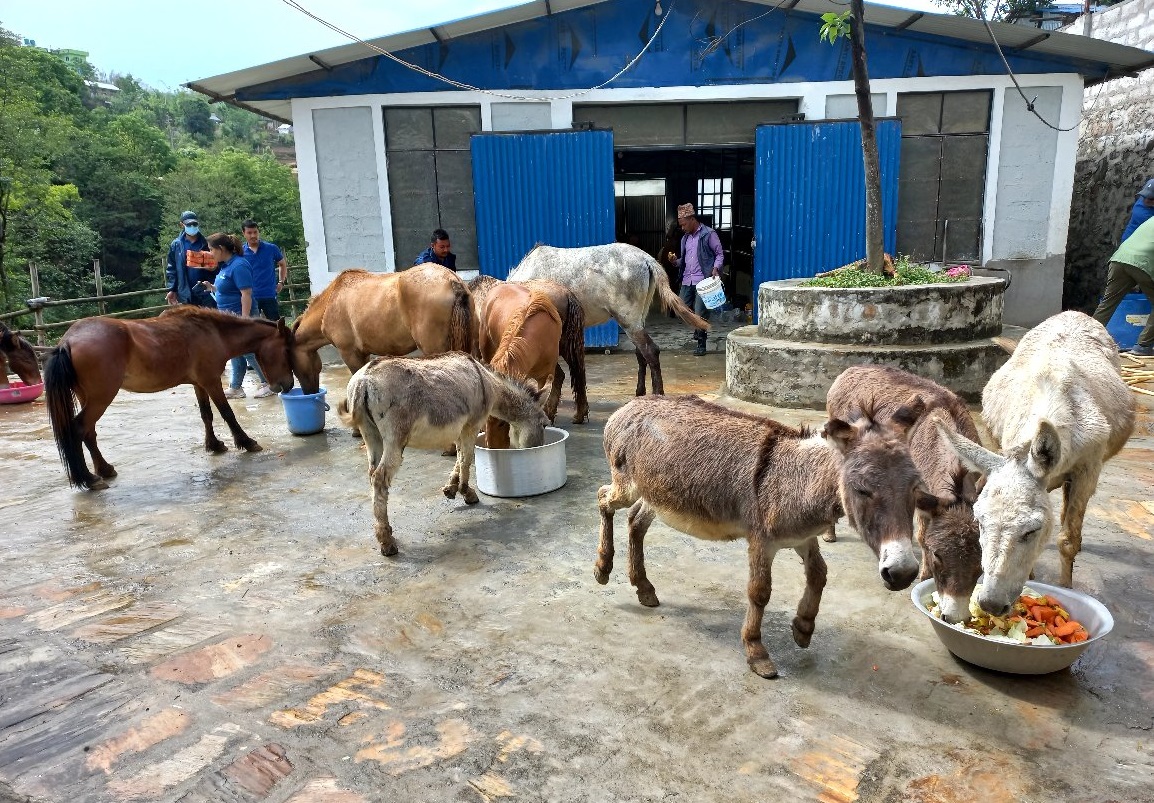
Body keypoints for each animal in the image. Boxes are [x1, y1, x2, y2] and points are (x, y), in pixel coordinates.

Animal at [43, 306, 297, 489]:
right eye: (286, 350)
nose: (287, 385)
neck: (212, 331)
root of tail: (67, 341)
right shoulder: (211, 381)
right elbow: (227, 413)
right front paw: (246, 442)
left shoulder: (199, 384)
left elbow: (206, 415)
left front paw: (214, 445)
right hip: (100, 398)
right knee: (78, 429)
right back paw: (89, 479)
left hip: (88, 397)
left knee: (89, 432)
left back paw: (104, 470)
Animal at [290, 266, 475, 394]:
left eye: (292, 364)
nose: (309, 392)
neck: (331, 301)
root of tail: (451, 281)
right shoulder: (363, 353)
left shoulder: (349, 353)